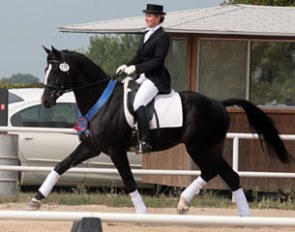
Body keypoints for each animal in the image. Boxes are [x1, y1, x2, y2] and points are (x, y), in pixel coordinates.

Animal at [27, 46, 292, 217]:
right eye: (45, 69)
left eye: (57, 71)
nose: (46, 100)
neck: (101, 100)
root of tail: (219, 103)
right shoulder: (91, 147)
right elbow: (60, 166)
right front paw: (35, 200)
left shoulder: (115, 150)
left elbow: (129, 180)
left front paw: (142, 212)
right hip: (211, 147)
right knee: (230, 175)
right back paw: (242, 216)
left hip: (196, 146)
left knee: (212, 171)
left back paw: (185, 203)